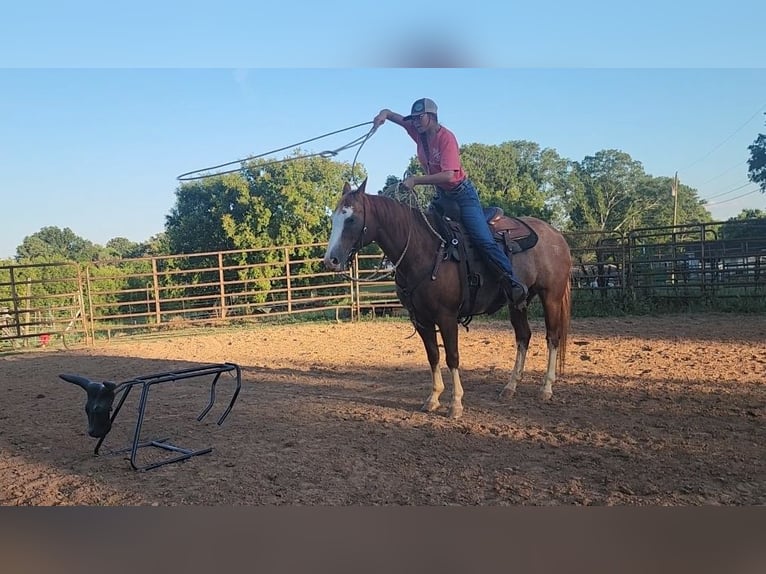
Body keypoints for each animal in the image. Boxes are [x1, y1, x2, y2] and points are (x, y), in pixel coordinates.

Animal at [320, 178, 572, 420]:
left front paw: (456, 404)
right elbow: (433, 355)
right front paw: (433, 398)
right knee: (523, 336)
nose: (331, 260)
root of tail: (556, 235)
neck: (423, 250)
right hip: (518, 302)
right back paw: (510, 386)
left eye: (351, 219)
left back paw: (546, 388)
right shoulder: (421, 319)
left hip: (551, 296)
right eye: (334, 218)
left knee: (552, 337)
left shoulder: (447, 317)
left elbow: (452, 356)